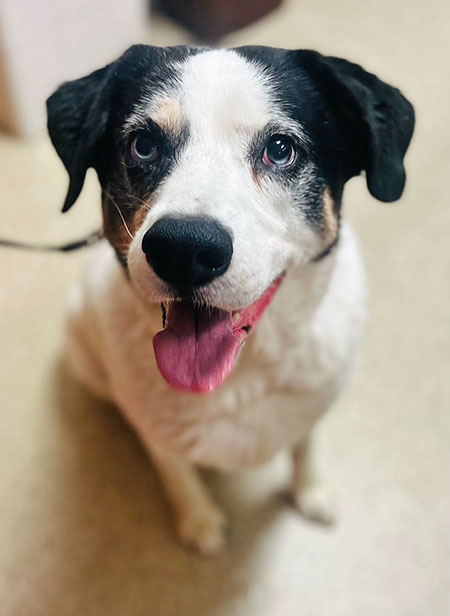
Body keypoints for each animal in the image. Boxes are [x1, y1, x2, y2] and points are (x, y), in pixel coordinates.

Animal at [46, 43, 414, 552]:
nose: (183, 249)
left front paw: (311, 490)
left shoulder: (314, 399)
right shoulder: (157, 432)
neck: (244, 370)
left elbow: (305, 444)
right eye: (143, 145)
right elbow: (176, 471)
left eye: (280, 149)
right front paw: (199, 520)